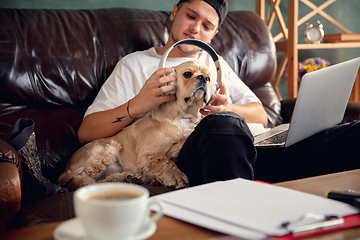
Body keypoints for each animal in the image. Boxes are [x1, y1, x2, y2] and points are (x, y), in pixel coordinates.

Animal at [57, 60, 212, 191]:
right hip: (107, 149)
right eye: (187, 74)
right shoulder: (148, 155)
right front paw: (177, 177)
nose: (203, 78)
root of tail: (67, 167)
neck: (185, 117)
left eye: (209, 78)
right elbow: (165, 164)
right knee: (82, 181)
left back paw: (128, 178)